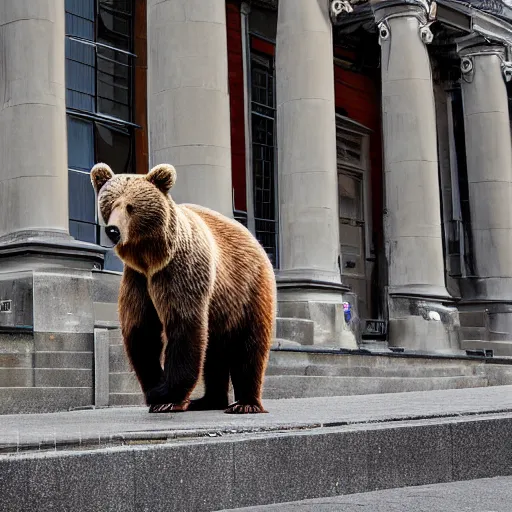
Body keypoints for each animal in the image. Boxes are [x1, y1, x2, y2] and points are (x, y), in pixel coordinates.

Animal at [91, 162, 276, 414]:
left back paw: (245, 403)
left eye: (131, 207)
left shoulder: (181, 272)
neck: (151, 259)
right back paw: (208, 400)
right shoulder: (138, 280)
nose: (113, 230)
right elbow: (141, 330)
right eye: (109, 205)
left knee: (248, 345)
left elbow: (183, 324)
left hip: (248, 288)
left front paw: (166, 397)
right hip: (222, 305)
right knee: (213, 350)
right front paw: (155, 390)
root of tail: (255, 240)